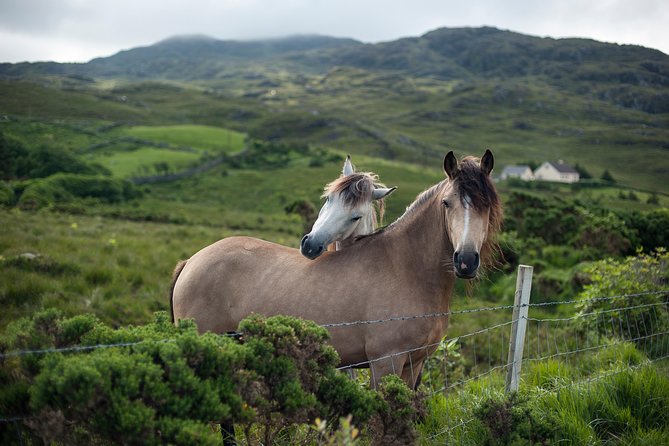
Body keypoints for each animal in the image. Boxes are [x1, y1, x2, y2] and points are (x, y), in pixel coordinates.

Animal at [170, 152, 498, 388]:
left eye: (486, 206)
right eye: (447, 203)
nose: (465, 260)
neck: (407, 268)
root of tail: (191, 261)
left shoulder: (414, 364)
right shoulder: (385, 362)